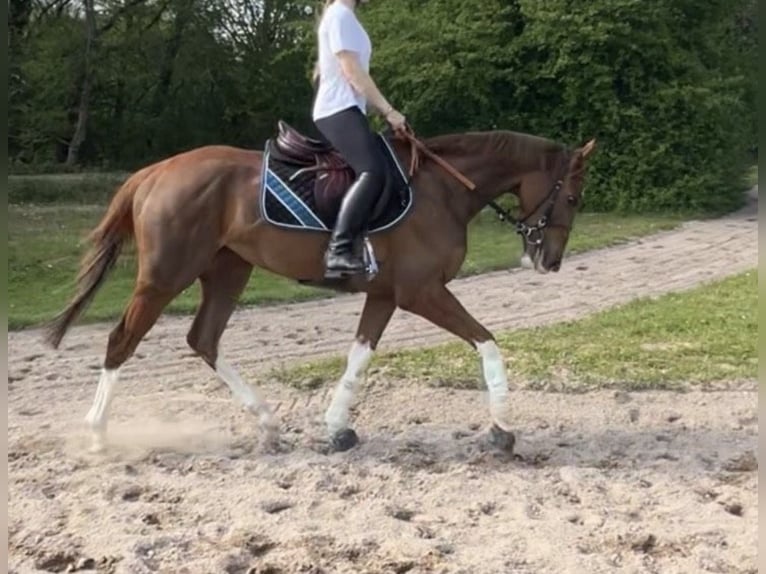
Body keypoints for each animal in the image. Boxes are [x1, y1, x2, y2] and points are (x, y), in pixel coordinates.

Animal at [43, 121, 596, 454]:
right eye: (572, 196)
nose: (551, 260)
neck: (443, 191)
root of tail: (156, 172)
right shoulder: (422, 292)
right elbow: (487, 342)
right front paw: (502, 429)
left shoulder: (386, 295)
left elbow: (358, 358)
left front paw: (337, 427)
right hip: (165, 276)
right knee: (122, 340)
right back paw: (97, 433)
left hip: (227, 270)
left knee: (204, 339)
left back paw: (267, 423)